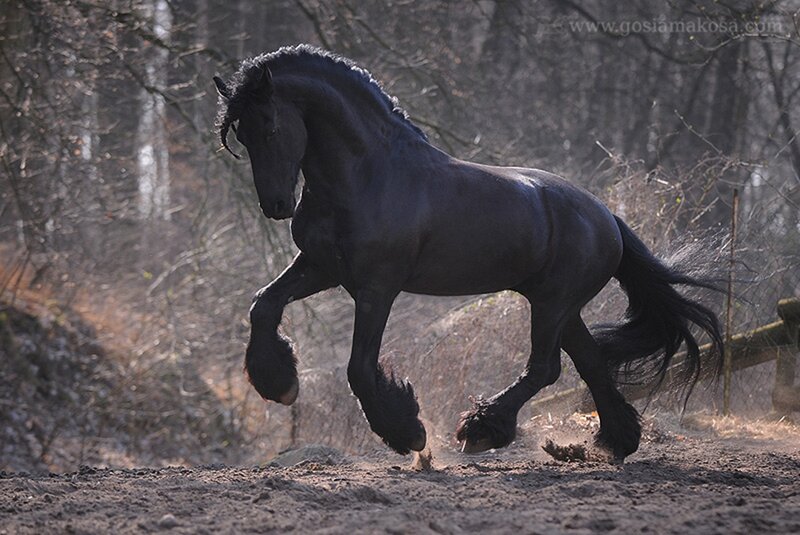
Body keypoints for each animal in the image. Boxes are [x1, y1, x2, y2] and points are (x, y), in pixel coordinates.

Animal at [213, 45, 723, 462]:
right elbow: (263, 305)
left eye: (270, 126)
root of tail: (608, 218)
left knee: (546, 367)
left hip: (552, 303)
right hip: (563, 307)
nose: (276, 206)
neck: (368, 174)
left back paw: (481, 430)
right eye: (240, 134)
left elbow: (359, 368)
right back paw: (616, 443)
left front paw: (408, 433)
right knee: (591, 363)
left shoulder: (377, 287)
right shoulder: (320, 267)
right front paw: (279, 384)